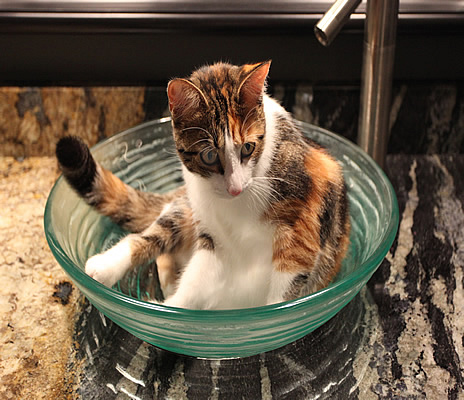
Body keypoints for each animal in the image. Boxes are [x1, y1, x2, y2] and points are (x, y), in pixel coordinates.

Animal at [56, 61, 350, 310]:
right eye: (209, 156)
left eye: (248, 148)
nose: (235, 188)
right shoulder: (212, 236)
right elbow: (195, 284)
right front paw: (168, 314)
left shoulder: (301, 229)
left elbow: (285, 288)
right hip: (185, 208)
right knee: (152, 237)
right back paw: (106, 267)